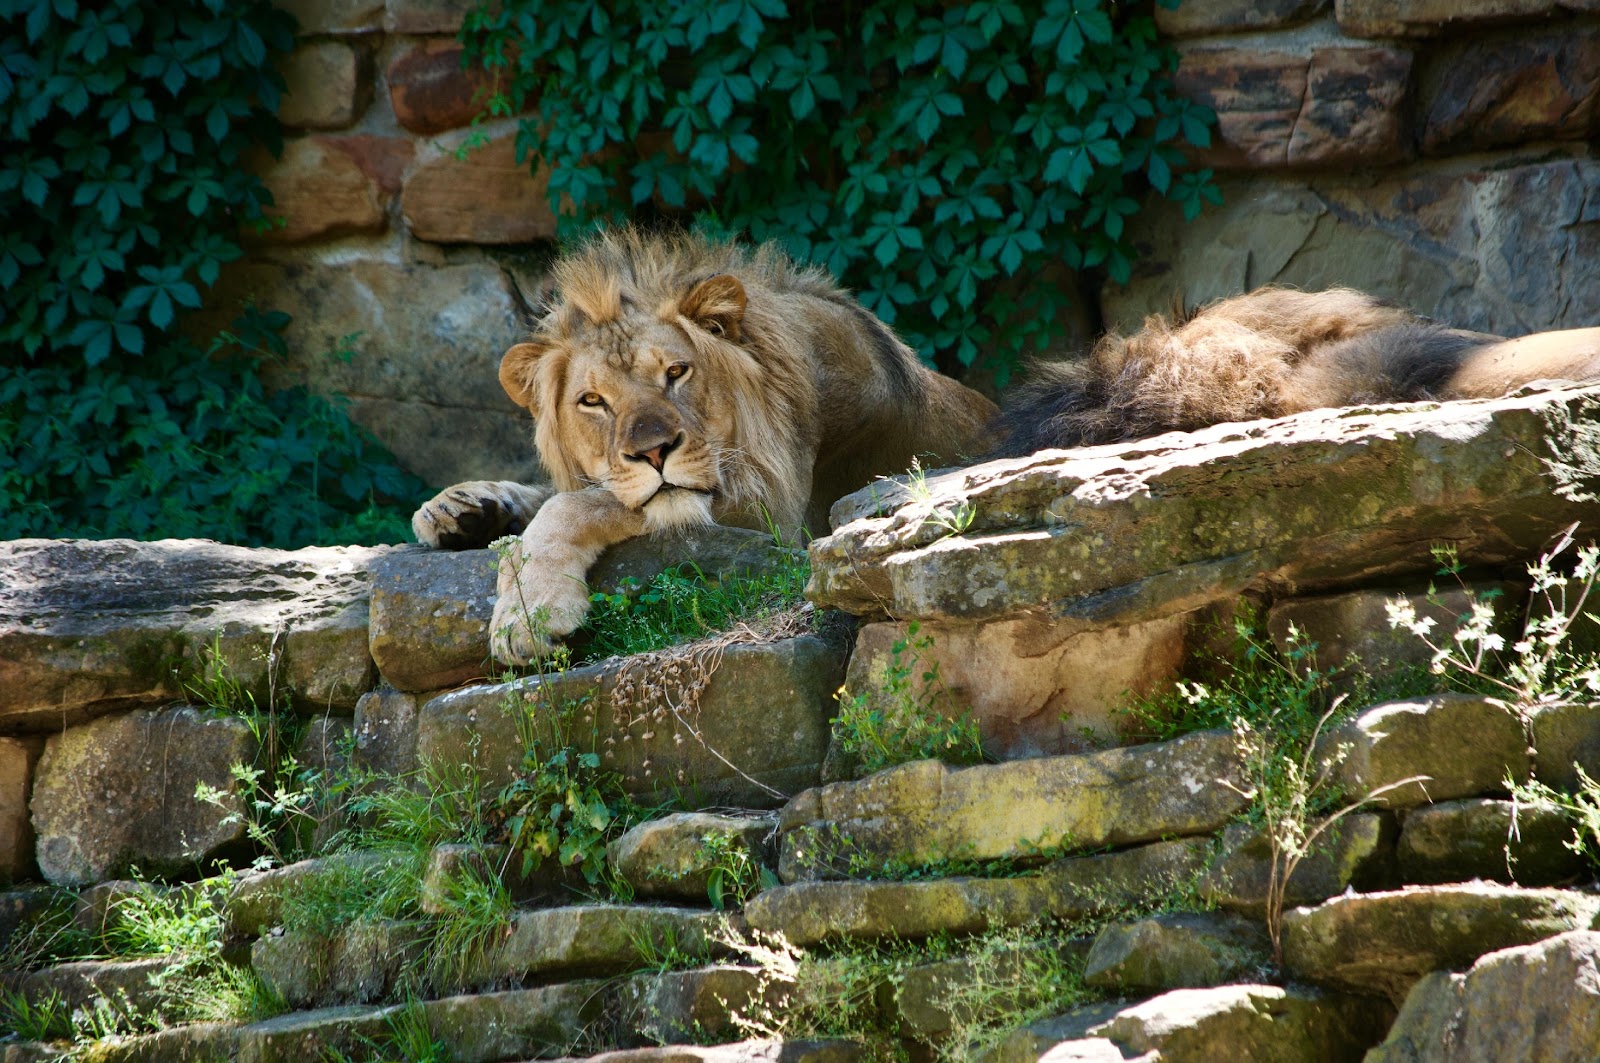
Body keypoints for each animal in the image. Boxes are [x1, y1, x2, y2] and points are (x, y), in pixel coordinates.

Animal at [412, 232, 992, 665]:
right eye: (592, 401)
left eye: (676, 372)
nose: (654, 453)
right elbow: (561, 491)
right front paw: (459, 506)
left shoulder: (779, 519)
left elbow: (574, 505)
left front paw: (528, 615)